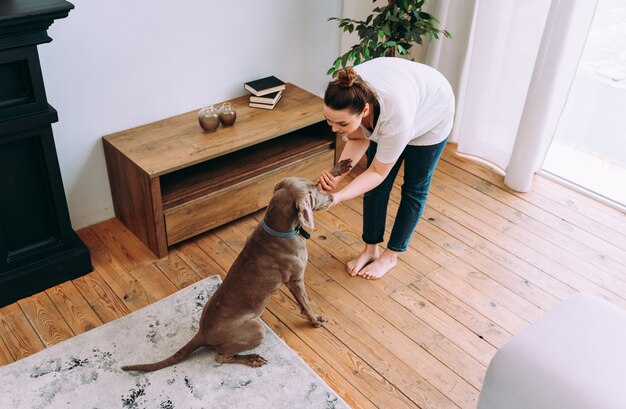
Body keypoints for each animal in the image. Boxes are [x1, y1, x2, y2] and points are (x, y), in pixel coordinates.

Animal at [119, 162, 348, 370]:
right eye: (314, 190)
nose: (332, 198)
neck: (278, 229)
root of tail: (202, 333)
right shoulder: (296, 279)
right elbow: (306, 304)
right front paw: (315, 320)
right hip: (256, 328)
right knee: (221, 357)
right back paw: (252, 359)